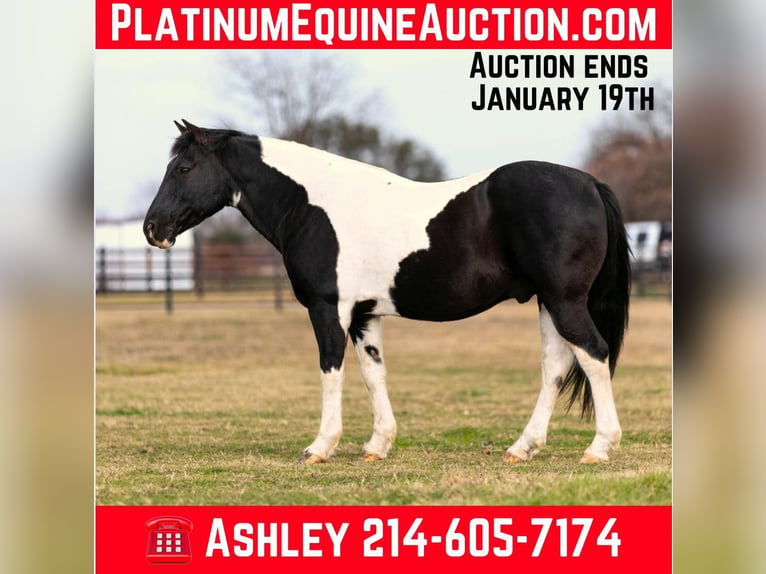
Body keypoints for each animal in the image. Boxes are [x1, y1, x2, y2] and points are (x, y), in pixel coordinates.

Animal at [147, 119, 632, 466]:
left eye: (184, 168)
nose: (153, 228)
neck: (311, 204)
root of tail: (589, 183)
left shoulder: (328, 309)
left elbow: (331, 372)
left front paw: (320, 447)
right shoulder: (365, 315)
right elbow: (372, 374)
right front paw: (377, 445)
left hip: (565, 301)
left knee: (593, 354)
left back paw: (599, 447)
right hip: (550, 303)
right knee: (556, 366)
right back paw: (523, 447)